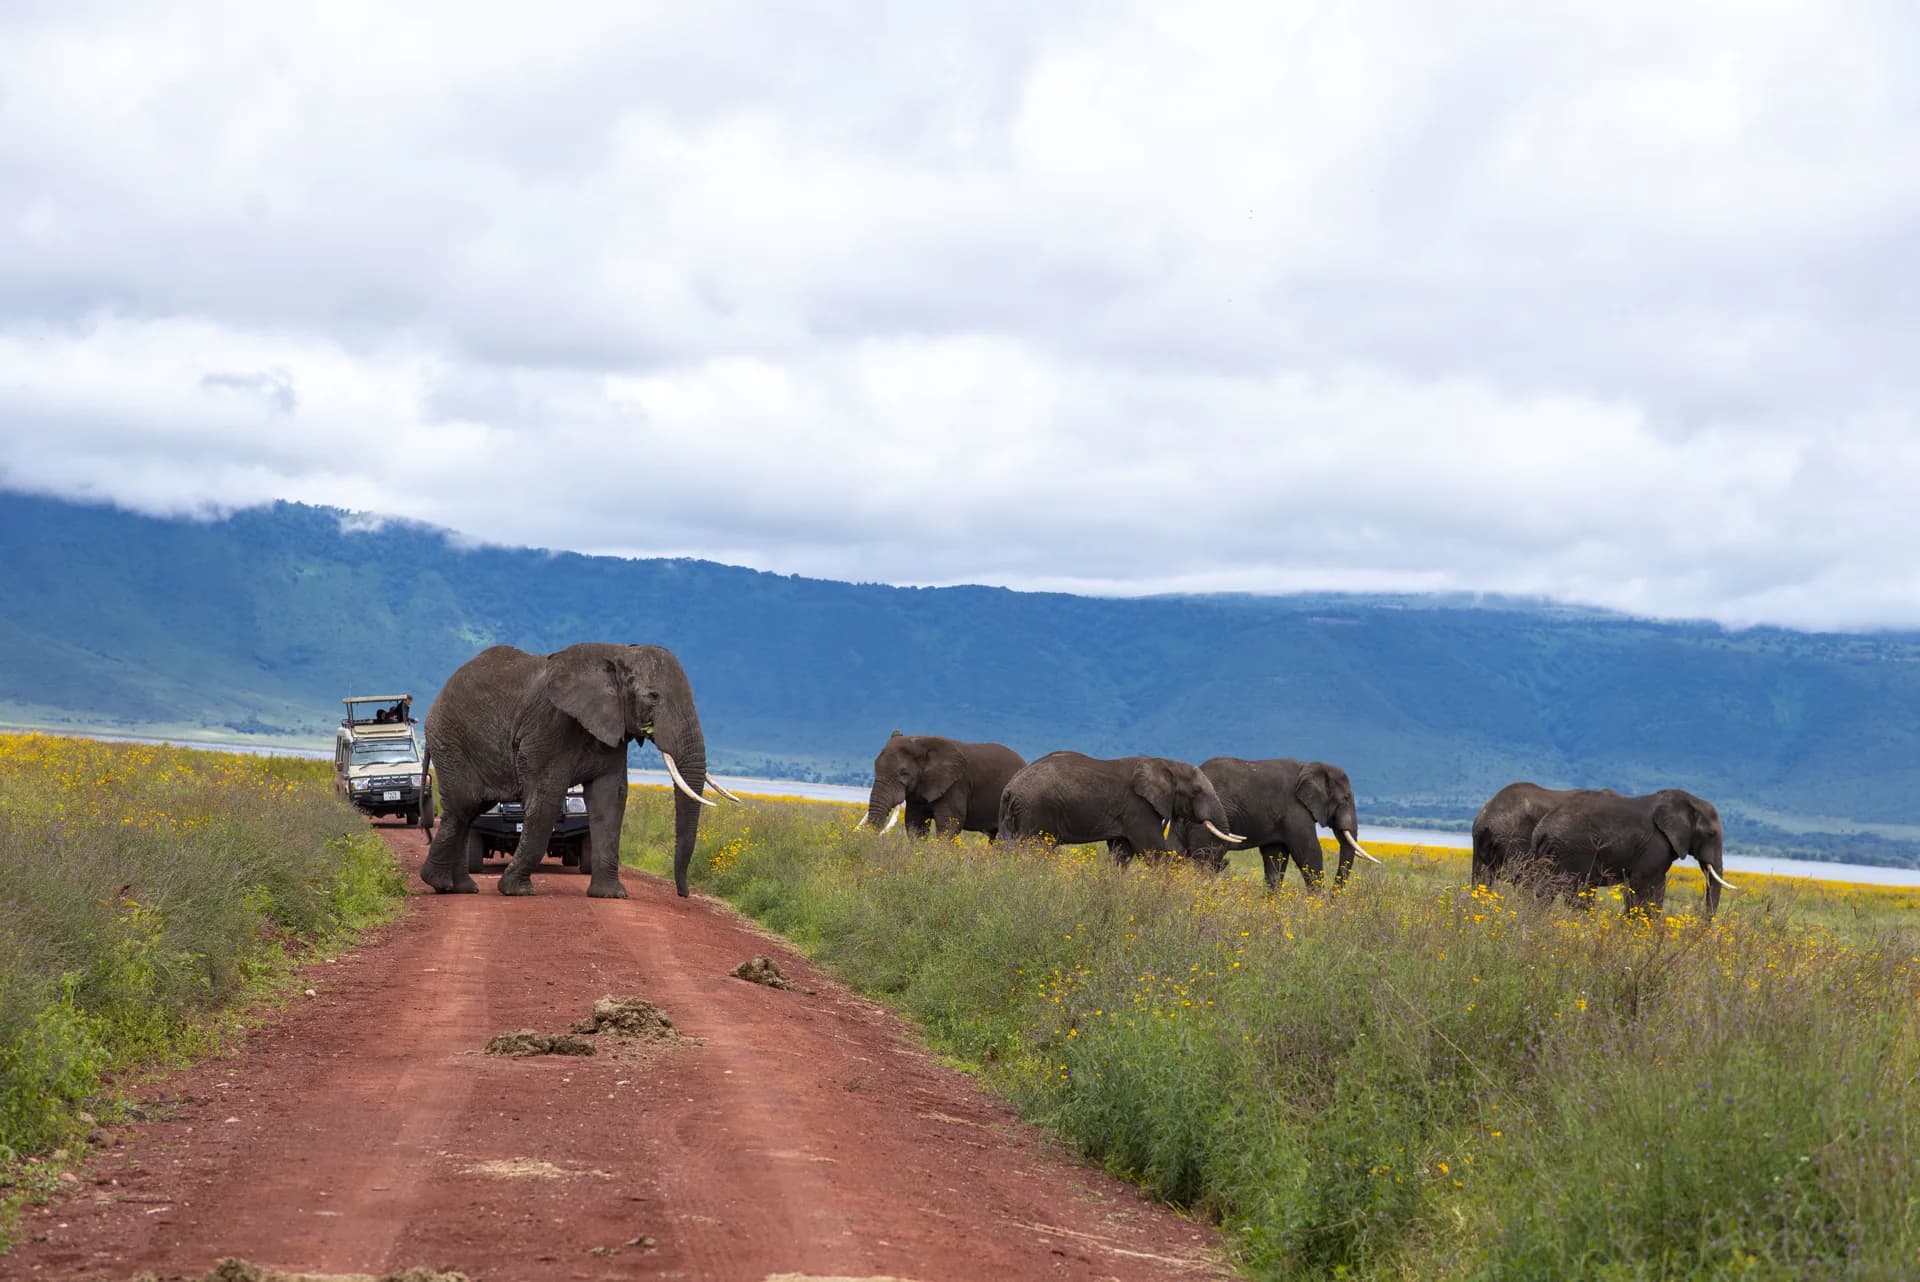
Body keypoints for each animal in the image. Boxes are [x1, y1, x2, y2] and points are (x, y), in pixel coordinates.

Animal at [418, 642, 735, 899]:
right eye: (654, 696)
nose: (683, 894)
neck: (618, 653)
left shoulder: (612, 729)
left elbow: (610, 799)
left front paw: (610, 896)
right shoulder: (549, 727)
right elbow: (546, 799)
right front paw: (517, 891)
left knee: (469, 812)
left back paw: (458, 888)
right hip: (452, 741)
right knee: (464, 806)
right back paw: (441, 884)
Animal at [996, 751, 1244, 862]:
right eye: (1196, 791)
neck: (1164, 763)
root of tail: (1010, 788)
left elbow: (1121, 851)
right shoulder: (1138, 807)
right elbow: (1155, 850)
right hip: (1036, 810)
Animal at [1178, 758, 1382, 889]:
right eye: (1346, 798)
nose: (1332, 900)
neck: (1309, 766)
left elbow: (1275, 857)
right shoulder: (1295, 809)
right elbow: (1309, 852)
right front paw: (1318, 906)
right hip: (1205, 824)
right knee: (1206, 859)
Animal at [1525, 788, 1739, 918]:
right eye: (1711, 834)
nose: (1703, 922)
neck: (1688, 800)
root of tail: (1541, 829)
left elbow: (1643, 886)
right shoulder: (1655, 844)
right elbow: (1646, 884)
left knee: (1546, 890)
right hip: (1574, 851)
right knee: (1577, 890)